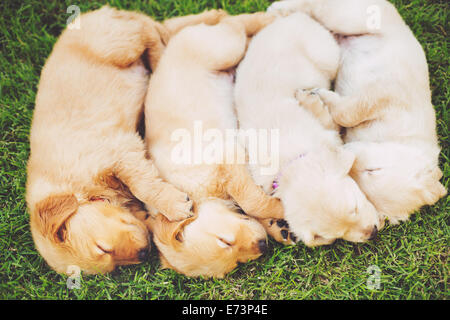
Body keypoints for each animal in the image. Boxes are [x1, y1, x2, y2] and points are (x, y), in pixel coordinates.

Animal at [144, 12, 280, 278]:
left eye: (224, 240)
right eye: (234, 264)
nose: (262, 246)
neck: (196, 194)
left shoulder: (227, 155)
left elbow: (250, 201)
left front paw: (281, 209)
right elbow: (251, 206)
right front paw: (279, 225)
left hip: (221, 48)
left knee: (233, 23)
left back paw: (266, 17)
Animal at [234, 11, 382, 248]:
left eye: (355, 207)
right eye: (337, 236)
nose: (373, 232)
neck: (290, 161)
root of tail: (294, 17)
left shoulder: (328, 133)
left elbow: (327, 118)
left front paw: (308, 99)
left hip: (325, 54)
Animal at [268, 0, 448, 224]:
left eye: (359, 180)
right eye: (374, 170)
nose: (347, 154)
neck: (395, 137)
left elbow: (335, 118)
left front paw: (314, 99)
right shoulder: (385, 93)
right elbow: (349, 112)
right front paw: (320, 95)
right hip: (352, 18)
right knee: (318, 6)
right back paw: (278, 9)